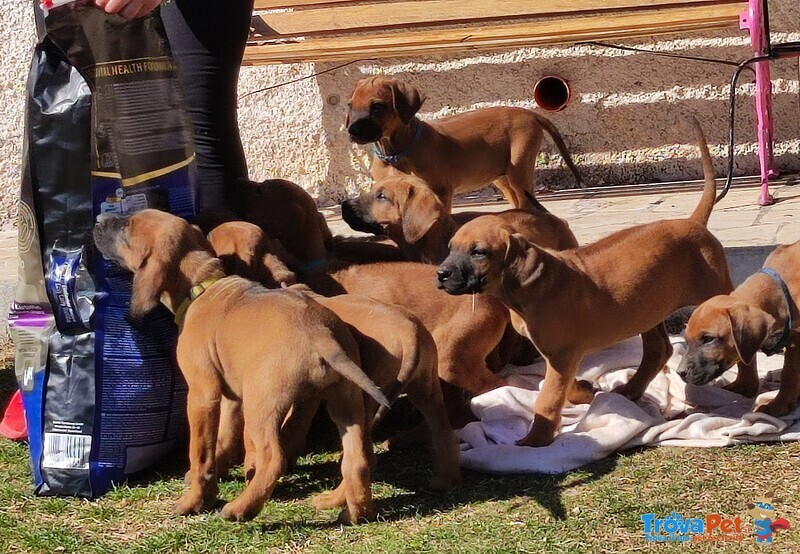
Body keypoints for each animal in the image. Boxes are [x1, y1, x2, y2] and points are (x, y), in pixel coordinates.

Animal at [346, 74, 584, 210]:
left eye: (377, 106)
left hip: (518, 170)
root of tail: (528, 112)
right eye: (350, 105)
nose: (352, 131)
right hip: (501, 175)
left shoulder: (441, 192)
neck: (396, 153)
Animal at [680, 238, 800, 414]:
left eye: (708, 339)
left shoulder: (795, 339)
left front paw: (779, 405)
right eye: (686, 340)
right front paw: (744, 386)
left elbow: (789, 373)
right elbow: (746, 359)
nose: (680, 372)